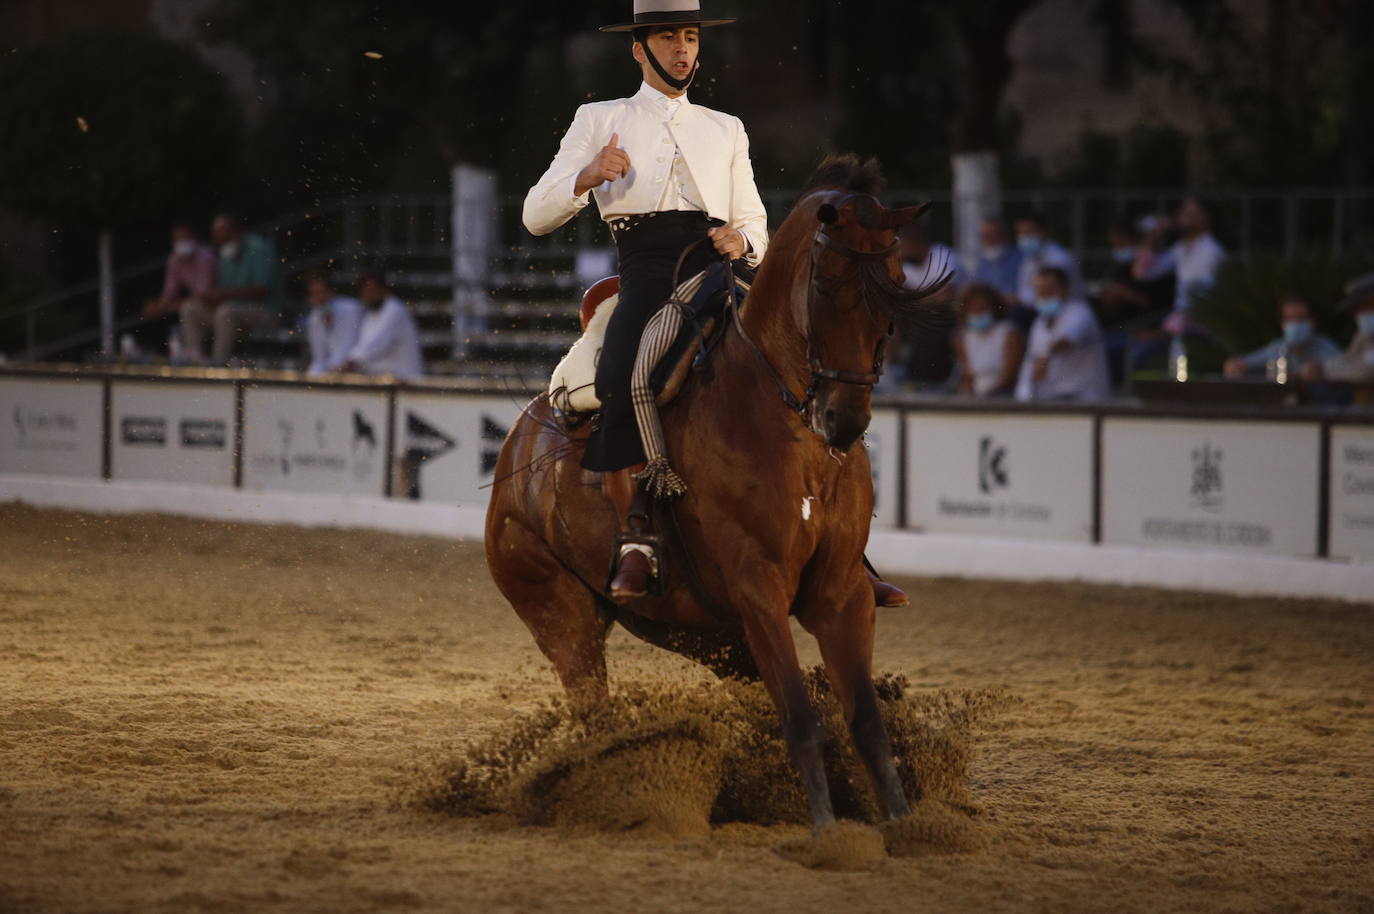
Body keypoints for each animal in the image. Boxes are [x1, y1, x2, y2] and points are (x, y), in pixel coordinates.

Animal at [489, 156, 950, 835]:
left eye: (893, 291)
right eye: (826, 287)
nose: (844, 422)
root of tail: (517, 446)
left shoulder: (840, 593)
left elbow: (865, 720)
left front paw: (902, 822)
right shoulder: (759, 589)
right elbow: (801, 719)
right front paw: (827, 832)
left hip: (702, 632)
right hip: (560, 616)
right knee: (594, 717)